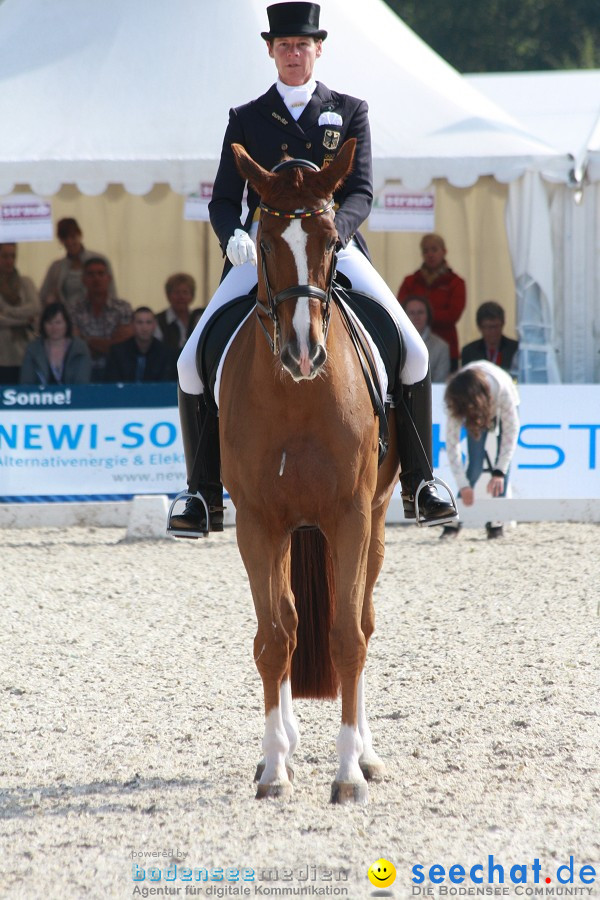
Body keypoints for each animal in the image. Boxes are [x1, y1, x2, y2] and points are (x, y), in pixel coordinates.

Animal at [219, 139, 398, 800]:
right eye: (264, 242)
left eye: (330, 241)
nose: (303, 353)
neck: (297, 396)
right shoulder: (258, 524)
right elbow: (275, 640)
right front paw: (274, 768)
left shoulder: (350, 516)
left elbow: (348, 638)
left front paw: (348, 774)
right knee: (293, 624)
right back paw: (286, 748)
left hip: (375, 521)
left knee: (362, 622)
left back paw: (366, 753)